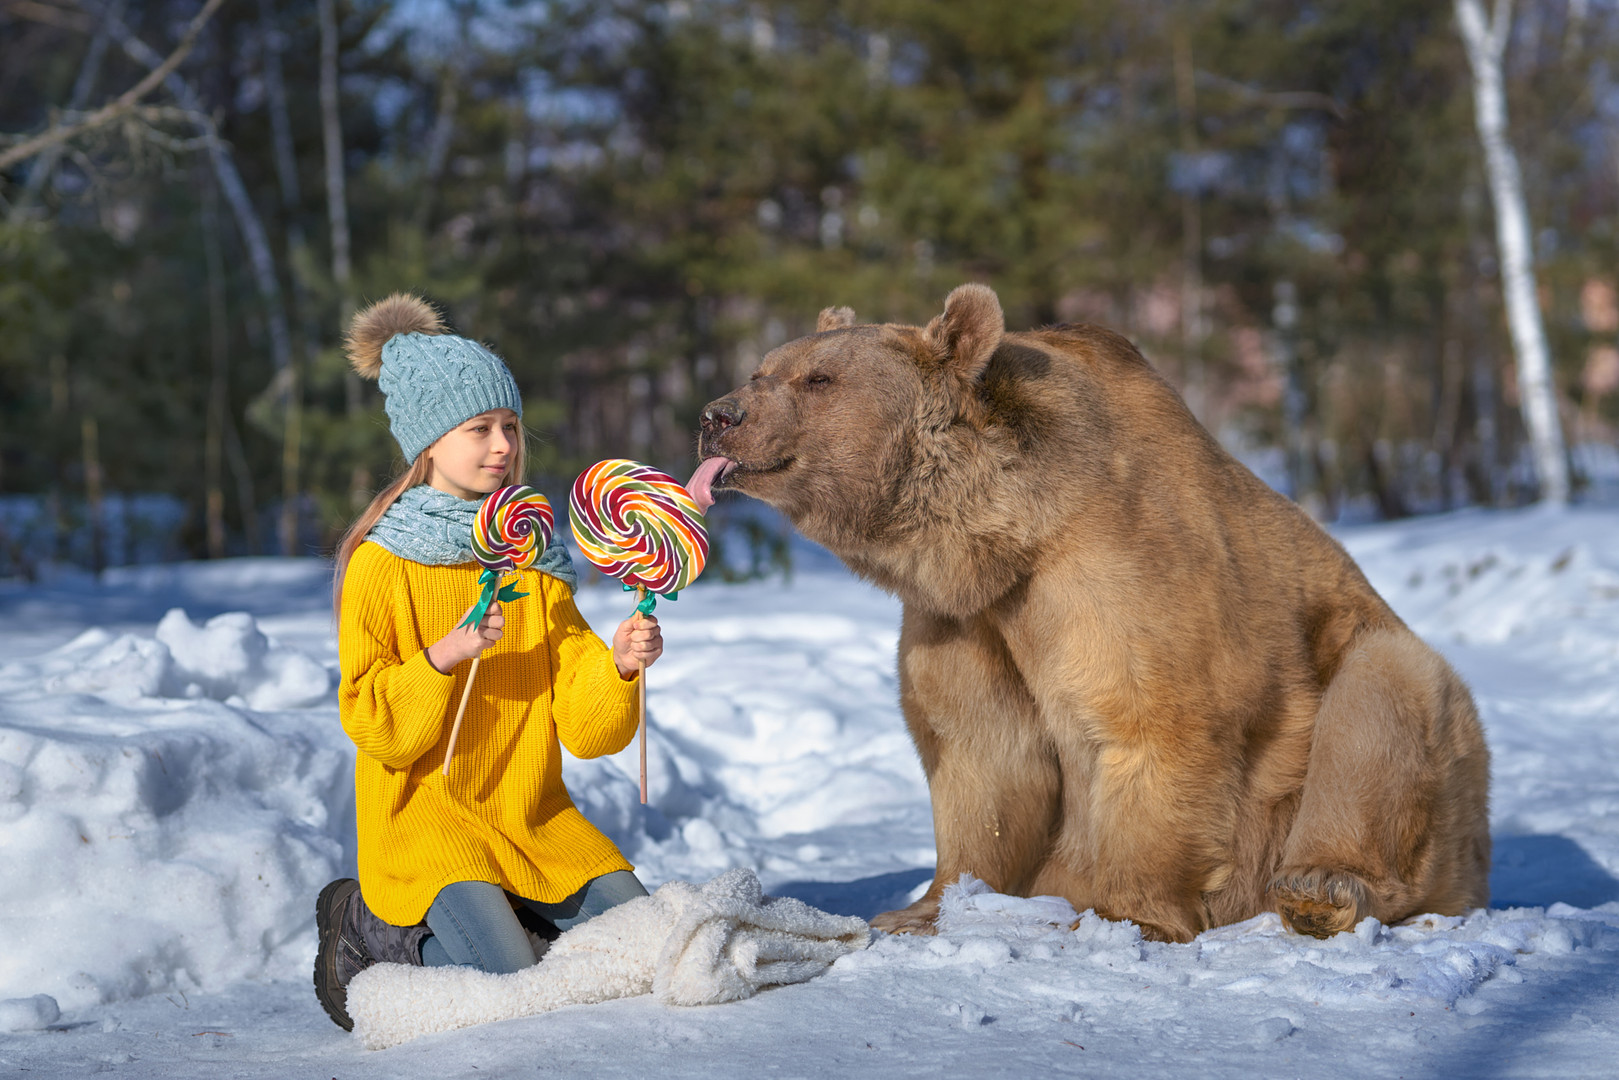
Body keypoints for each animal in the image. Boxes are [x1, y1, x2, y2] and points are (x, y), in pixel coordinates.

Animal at [689, 283, 1483, 939]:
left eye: (819, 379)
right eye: (763, 368)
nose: (718, 415)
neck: (996, 540)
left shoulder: (1116, 573)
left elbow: (1149, 721)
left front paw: (1127, 912)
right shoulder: (964, 624)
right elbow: (981, 754)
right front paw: (921, 906)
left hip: (1392, 723)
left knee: (1383, 695)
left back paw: (1323, 888)